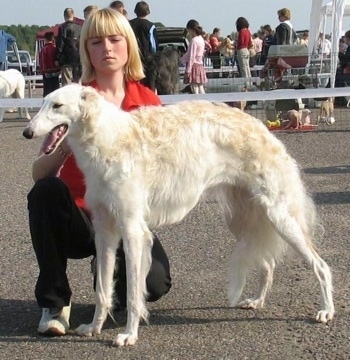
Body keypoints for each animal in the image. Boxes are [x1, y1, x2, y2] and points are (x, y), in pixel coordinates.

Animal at [21, 83, 334, 346]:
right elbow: (103, 291)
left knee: (320, 265)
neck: (109, 139)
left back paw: (326, 311)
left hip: (278, 215)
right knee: (267, 263)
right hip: (245, 218)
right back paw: (256, 300)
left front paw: (129, 335)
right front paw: (94, 328)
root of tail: (264, 130)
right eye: (42, 102)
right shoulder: (105, 229)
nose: (27, 132)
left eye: (57, 105)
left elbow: (133, 294)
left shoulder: (132, 229)